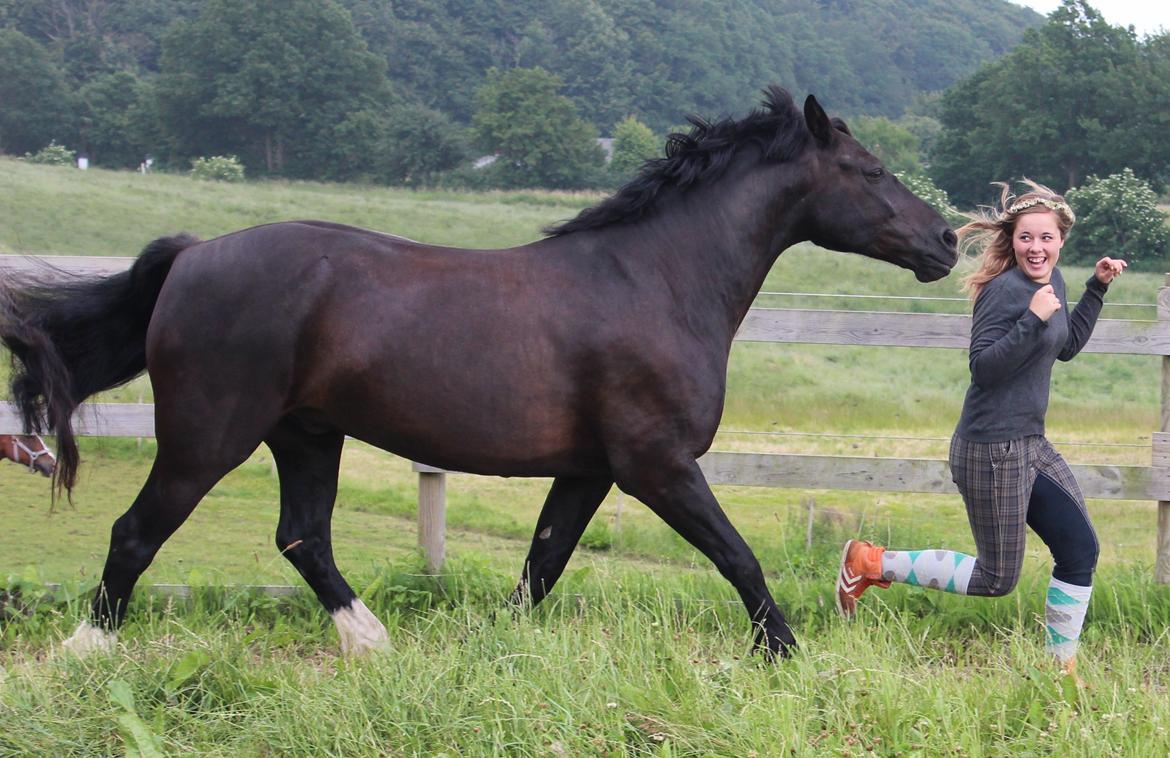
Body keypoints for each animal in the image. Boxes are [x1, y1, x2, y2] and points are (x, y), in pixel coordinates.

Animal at [0, 87, 954, 655]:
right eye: (870, 170)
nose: (946, 241)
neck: (655, 279)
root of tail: (193, 256)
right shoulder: (657, 465)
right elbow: (738, 558)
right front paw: (787, 653)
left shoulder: (589, 470)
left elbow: (542, 565)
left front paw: (504, 651)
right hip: (208, 437)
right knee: (136, 534)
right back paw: (87, 652)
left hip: (305, 434)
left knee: (303, 537)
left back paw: (372, 644)